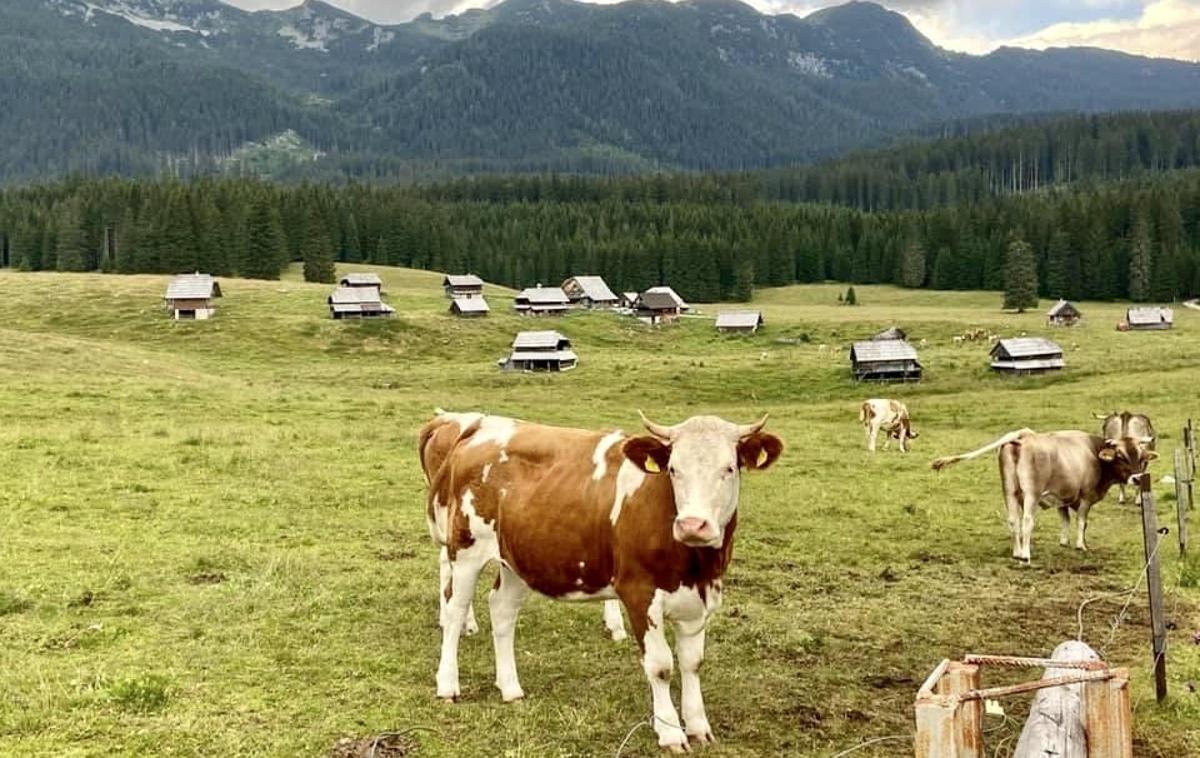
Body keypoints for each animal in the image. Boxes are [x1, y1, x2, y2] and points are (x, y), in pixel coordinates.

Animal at [420, 407, 777, 753]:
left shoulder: (698, 600)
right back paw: (448, 684)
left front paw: (698, 726)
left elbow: (692, 663)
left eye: (729, 468)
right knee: (454, 610)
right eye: (674, 469)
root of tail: (479, 427)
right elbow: (661, 666)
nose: (692, 525)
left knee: (502, 610)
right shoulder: (639, 593)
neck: (696, 565)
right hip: (466, 548)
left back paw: (510, 687)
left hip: (518, 557)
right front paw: (670, 732)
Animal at [926, 426, 1152, 563]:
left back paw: (1017, 552)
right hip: (1030, 494)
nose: (1137, 479)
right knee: (1027, 521)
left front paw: (1064, 541)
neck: (1093, 452)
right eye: (1121, 456)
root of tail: (1024, 435)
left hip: (1009, 491)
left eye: (1141, 457)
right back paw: (1025, 555)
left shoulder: (1061, 496)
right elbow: (1081, 522)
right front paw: (1081, 545)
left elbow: (1065, 519)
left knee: (1013, 520)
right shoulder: (1086, 497)